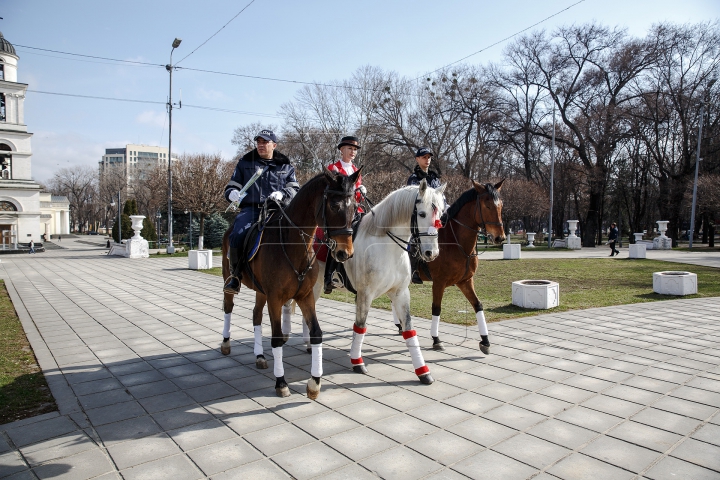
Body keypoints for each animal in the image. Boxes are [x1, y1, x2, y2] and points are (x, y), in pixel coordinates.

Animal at [218, 169, 360, 398]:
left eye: (355, 207)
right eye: (333, 205)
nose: (344, 252)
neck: (293, 244)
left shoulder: (305, 296)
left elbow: (316, 333)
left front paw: (314, 382)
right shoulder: (275, 298)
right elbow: (277, 338)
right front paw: (281, 382)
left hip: (261, 292)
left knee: (256, 315)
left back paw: (259, 356)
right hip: (229, 280)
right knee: (228, 307)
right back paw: (225, 343)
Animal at [296, 181, 444, 386]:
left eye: (441, 215)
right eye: (422, 214)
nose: (432, 253)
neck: (386, 245)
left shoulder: (400, 293)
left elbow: (409, 330)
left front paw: (423, 371)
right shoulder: (365, 294)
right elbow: (360, 326)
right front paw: (357, 362)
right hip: (314, 286)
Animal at [394, 179, 506, 352]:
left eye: (500, 205)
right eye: (487, 205)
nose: (500, 237)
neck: (455, 242)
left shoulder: (465, 281)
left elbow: (478, 305)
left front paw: (485, 340)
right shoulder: (439, 283)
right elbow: (436, 308)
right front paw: (436, 339)